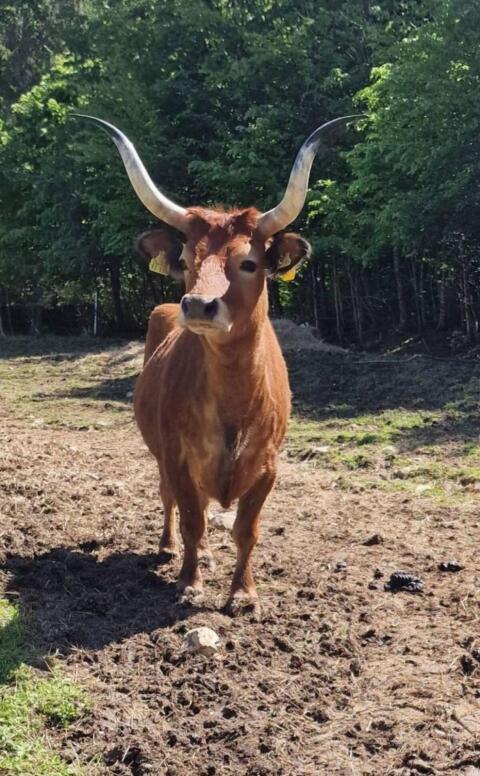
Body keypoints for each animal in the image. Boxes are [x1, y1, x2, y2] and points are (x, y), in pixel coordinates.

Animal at [74, 113, 360, 617]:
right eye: (188, 259)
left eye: (248, 262)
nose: (198, 305)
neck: (235, 399)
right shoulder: (177, 456)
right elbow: (192, 517)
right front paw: (190, 582)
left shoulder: (268, 466)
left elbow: (247, 529)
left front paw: (243, 593)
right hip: (161, 455)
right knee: (172, 501)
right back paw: (173, 549)